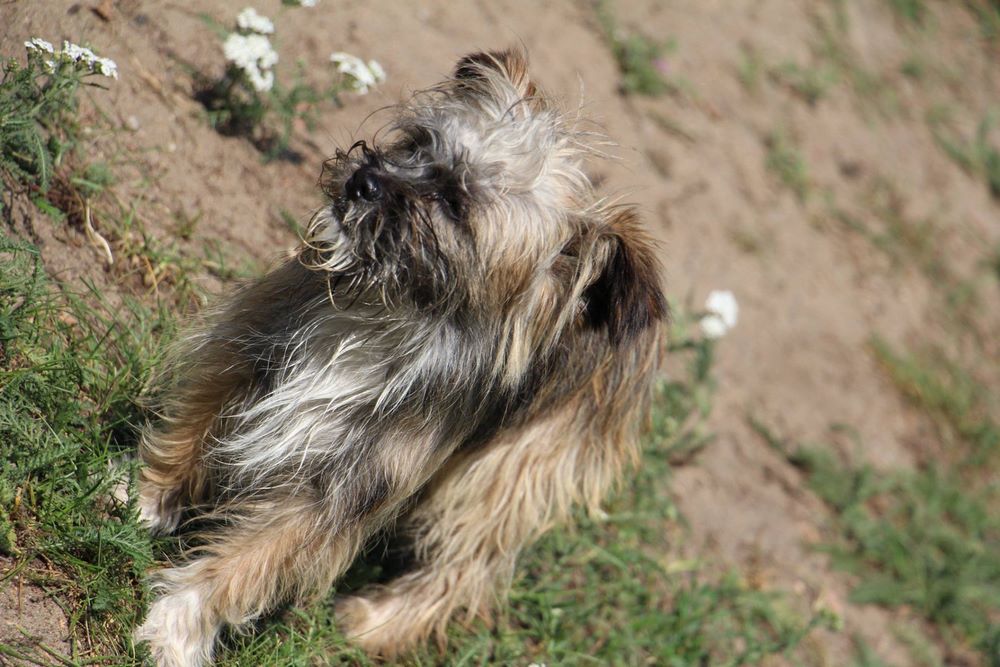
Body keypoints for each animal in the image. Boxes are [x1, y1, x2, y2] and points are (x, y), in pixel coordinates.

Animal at [134, 49, 666, 666]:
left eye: (456, 205)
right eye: (416, 144)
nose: (365, 180)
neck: (388, 319)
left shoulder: (342, 487)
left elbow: (249, 563)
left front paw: (179, 624)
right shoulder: (251, 349)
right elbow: (191, 433)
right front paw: (146, 501)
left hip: (505, 475)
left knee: (460, 572)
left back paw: (372, 625)